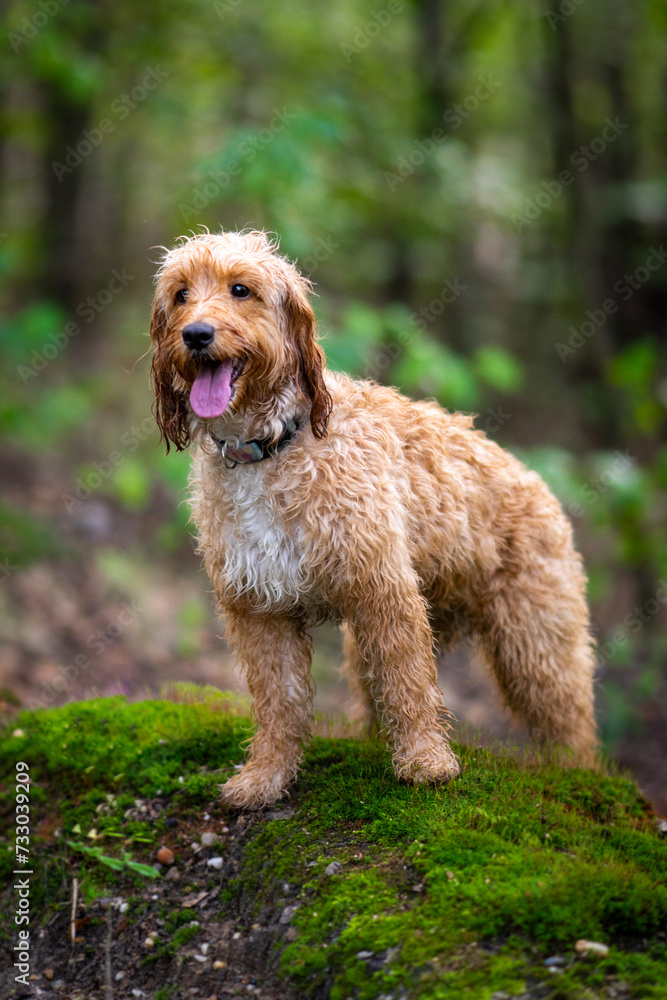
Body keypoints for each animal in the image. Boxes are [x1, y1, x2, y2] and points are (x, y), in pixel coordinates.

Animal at [150, 230, 600, 808]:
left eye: (241, 289)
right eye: (181, 294)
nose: (196, 334)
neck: (272, 447)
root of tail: (536, 481)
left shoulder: (384, 594)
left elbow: (408, 685)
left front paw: (426, 763)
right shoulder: (260, 609)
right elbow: (279, 702)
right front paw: (265, 777)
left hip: (537, 647)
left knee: (572, 729)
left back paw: (582, 775)